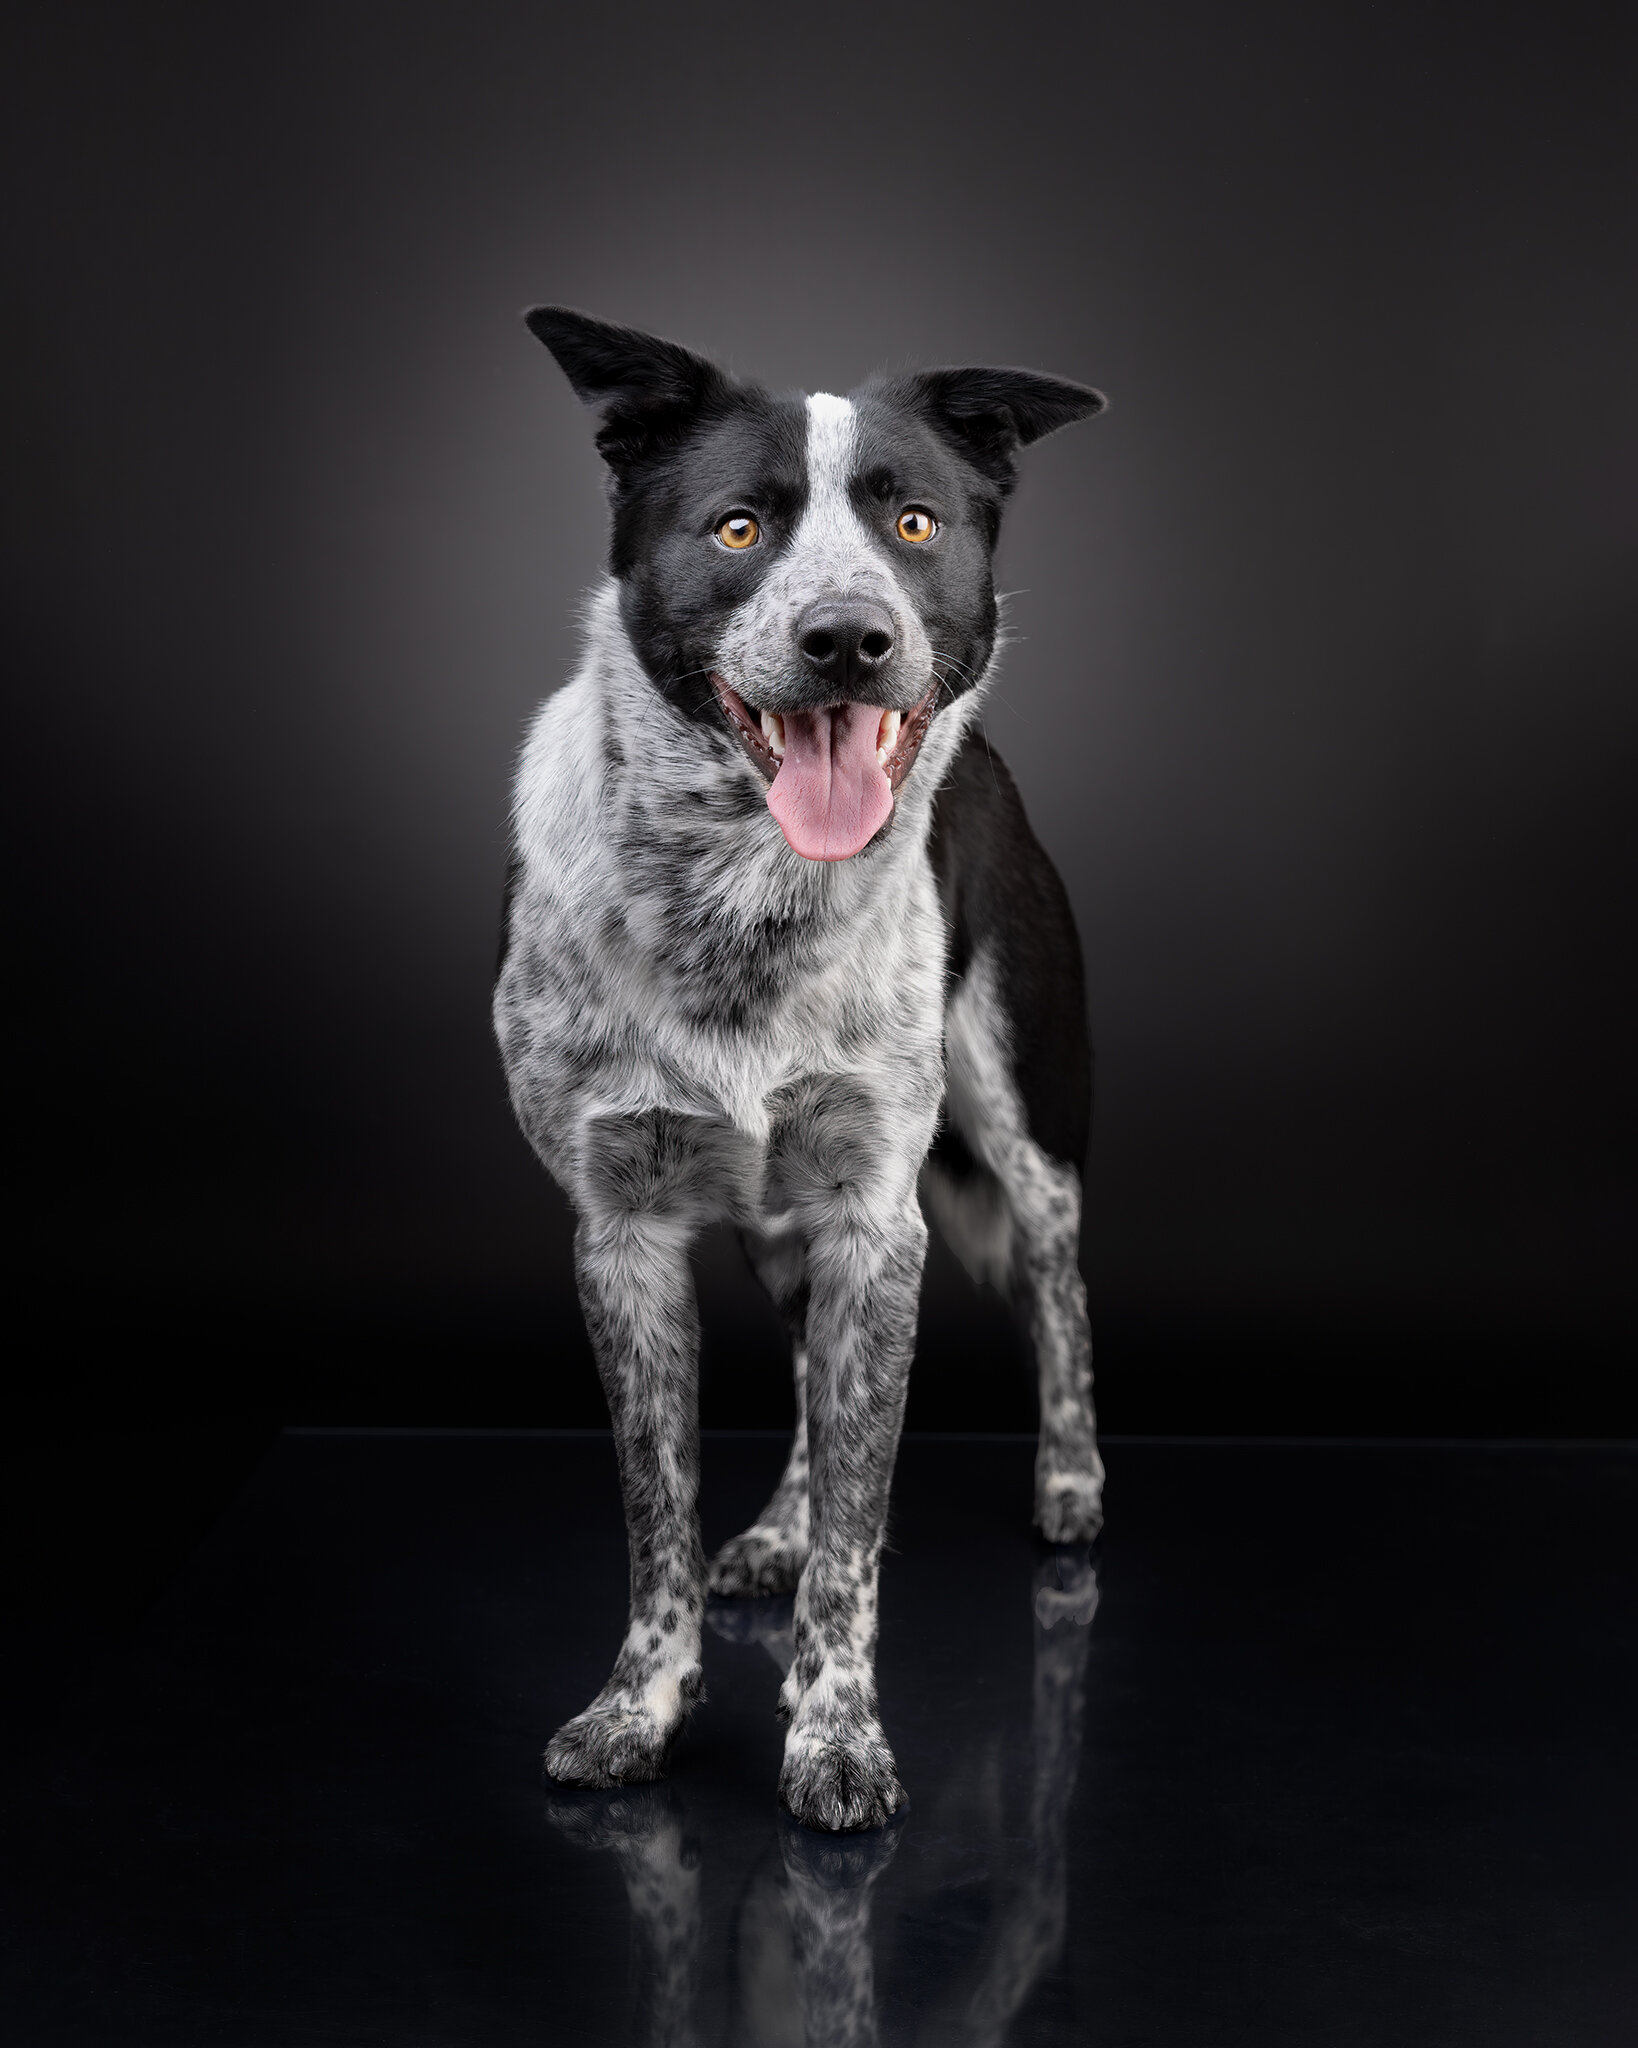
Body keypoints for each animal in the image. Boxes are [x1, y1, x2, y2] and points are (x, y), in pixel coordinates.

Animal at [495, 307, 1113, 1843]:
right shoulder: (622, 1234)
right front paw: (640, 1708)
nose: (848, 638)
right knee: (802, 1378)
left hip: (1020, 1116)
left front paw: (835, 1735)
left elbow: (861, 1521)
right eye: (737, 528)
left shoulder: (878, 1218)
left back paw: (1070, 1480)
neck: (742, 900)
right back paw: (771, 1527)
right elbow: (658, 1510)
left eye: (912, 522)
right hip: (790, 1224)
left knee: (1058, 1287)